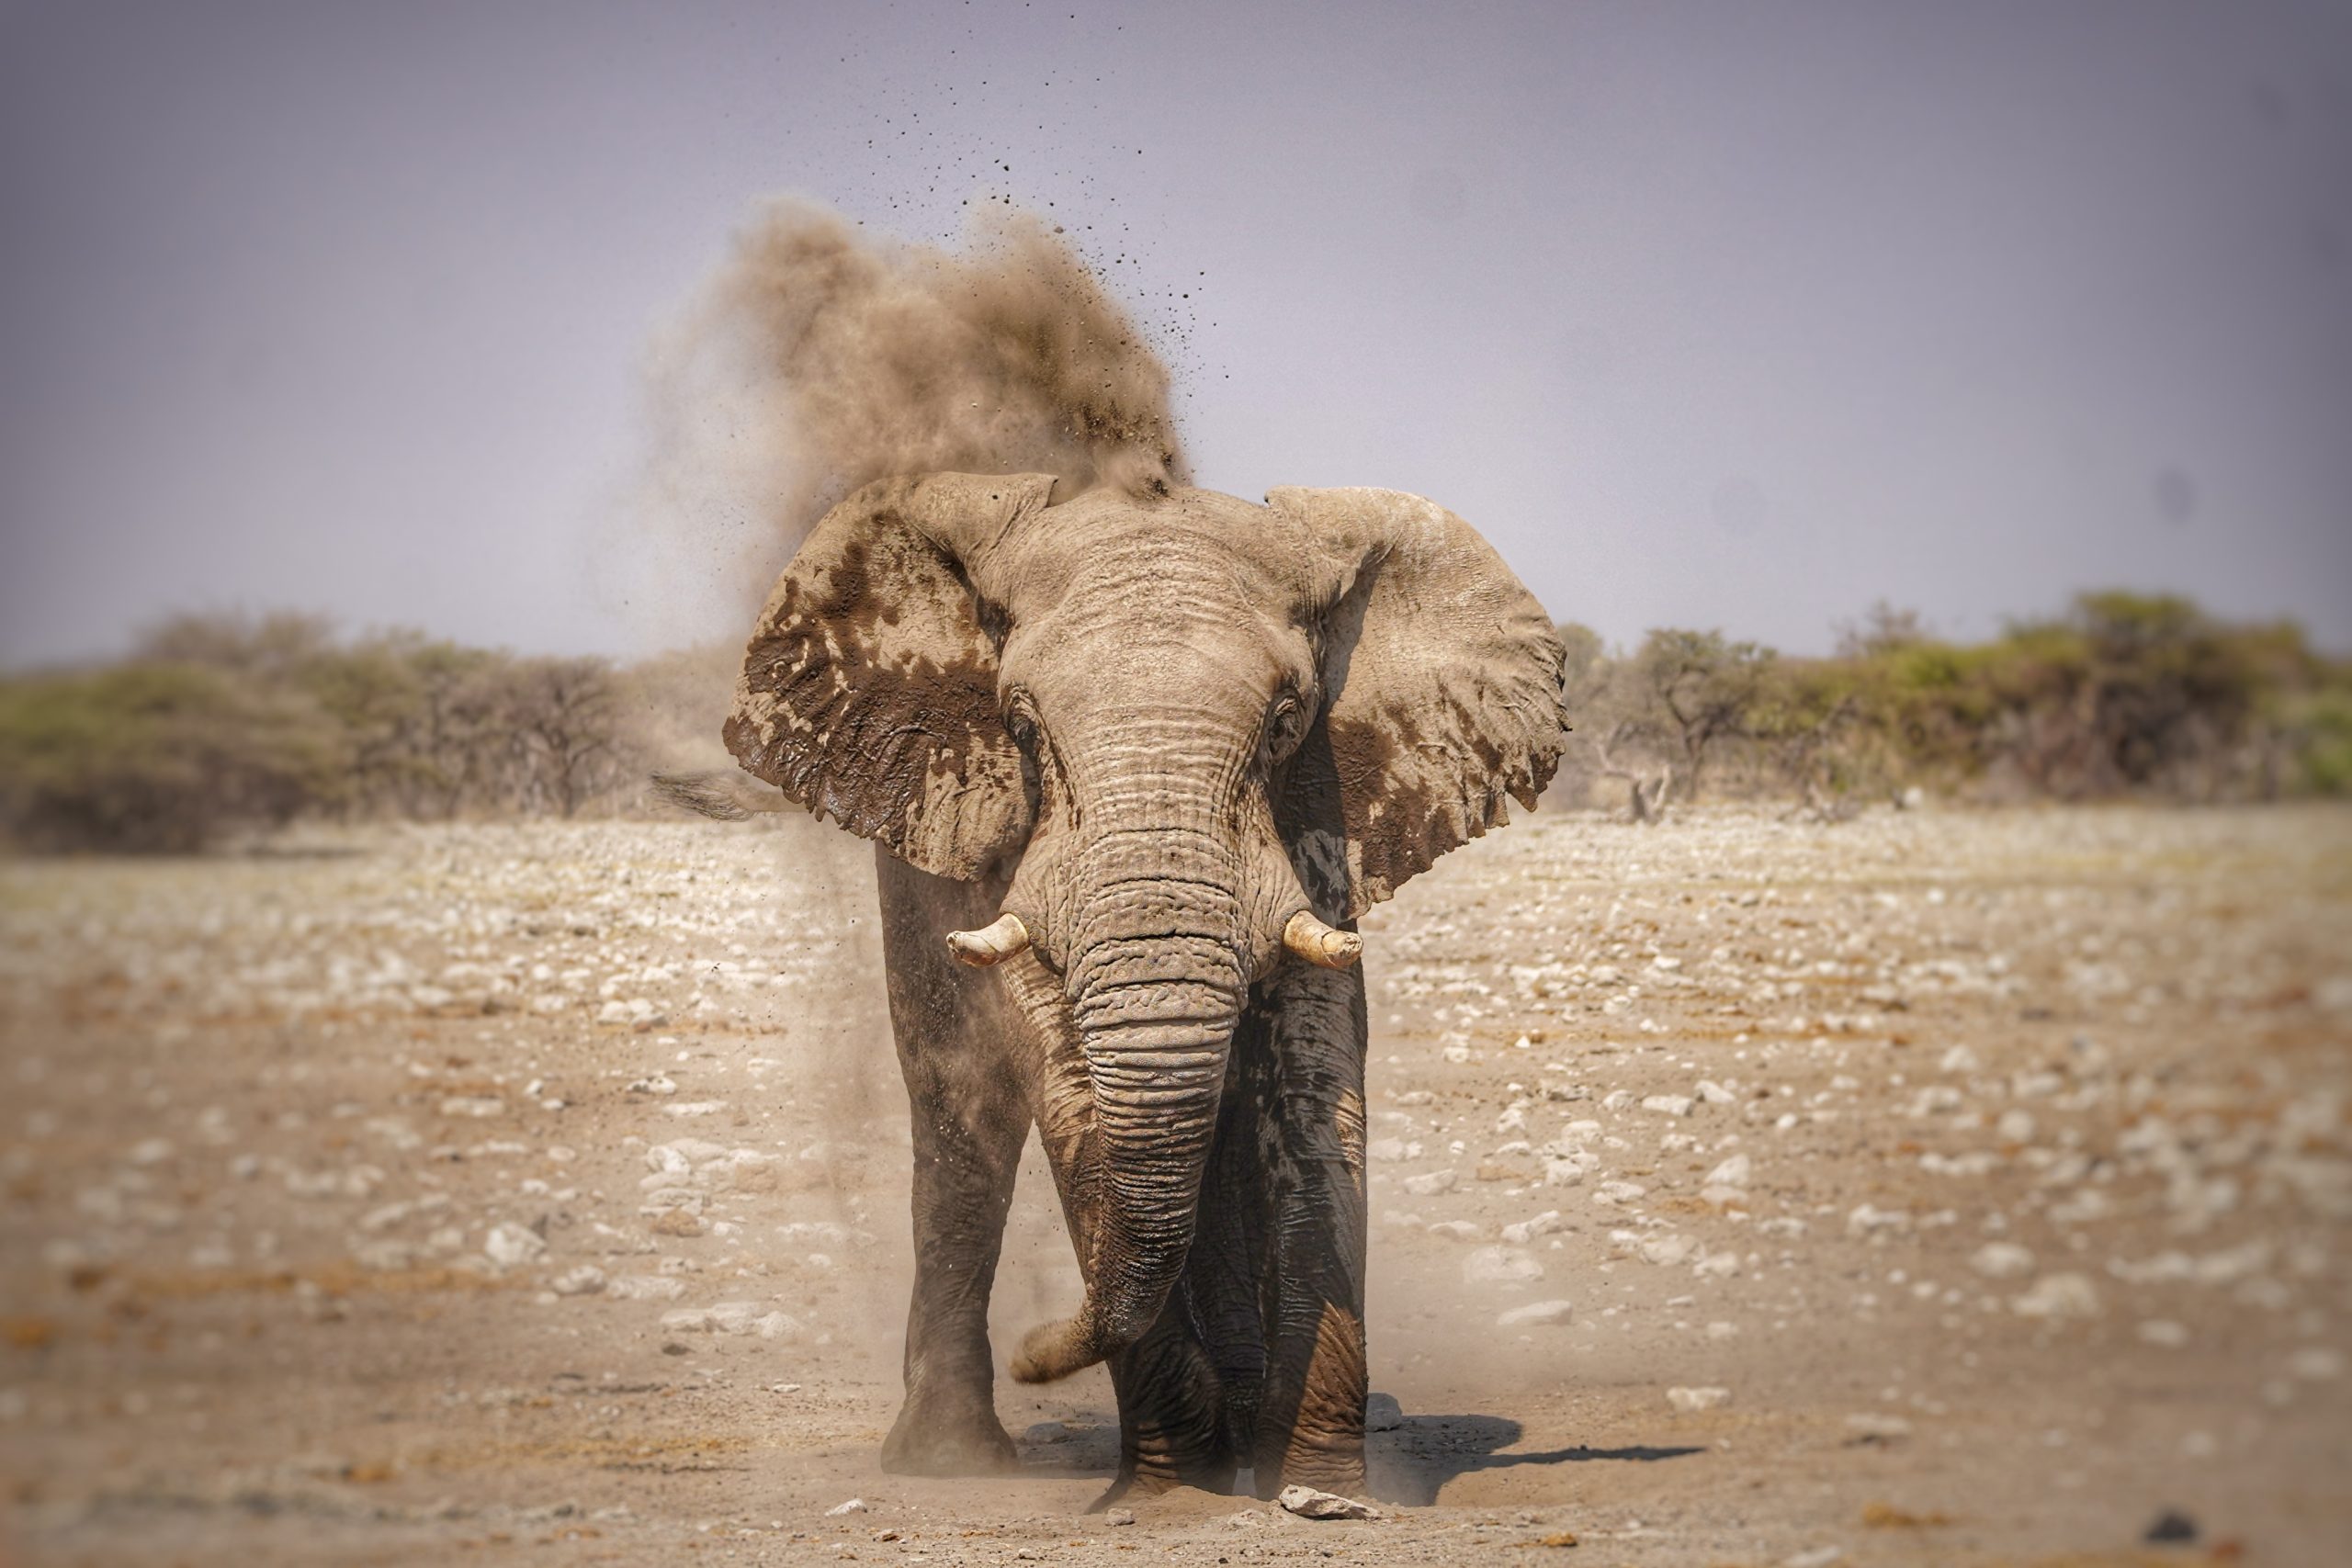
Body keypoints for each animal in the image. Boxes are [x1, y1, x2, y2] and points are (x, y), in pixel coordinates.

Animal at [655, 472, 1566, 1500]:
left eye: (1285, 722)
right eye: (1019, 725)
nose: (1037, 1353)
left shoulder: (1325, 805)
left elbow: (1313, 1087)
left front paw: (1318, 1484)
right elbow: (1065, 1090)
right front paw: (1175, 1485)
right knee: (964, 1121)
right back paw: (950, 1458)